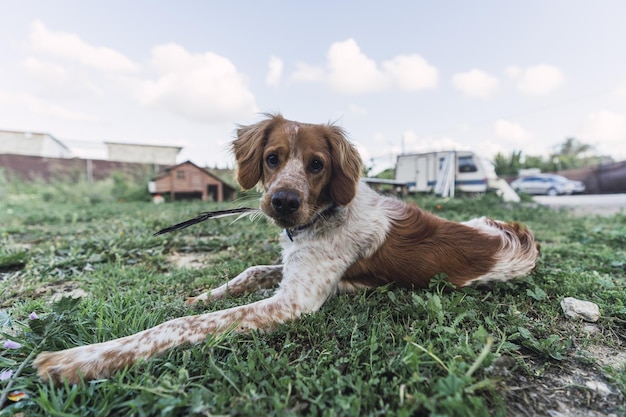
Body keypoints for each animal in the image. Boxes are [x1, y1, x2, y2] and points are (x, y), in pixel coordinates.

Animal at [33, 113, 536, 384]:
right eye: (273, 158)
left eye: (317, 165)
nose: (284, 202)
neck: (320, 217)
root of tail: (519, 236)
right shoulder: (291, 269)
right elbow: (249, 272)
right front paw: (202, 294)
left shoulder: (295, 301)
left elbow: (178, 326)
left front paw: (79, 360)